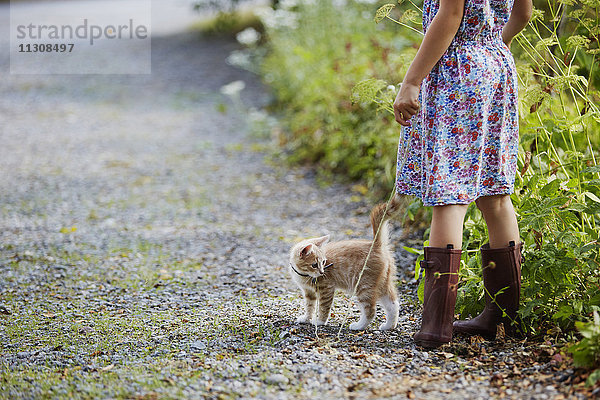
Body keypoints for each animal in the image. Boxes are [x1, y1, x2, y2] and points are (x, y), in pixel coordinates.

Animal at [288, 197, 400, 332]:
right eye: (315, 265)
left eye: (323, 262)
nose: (322, 272)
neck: (304, 275)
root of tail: (375, 244)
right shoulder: (308, 292)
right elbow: (310, 306)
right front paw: (306, 318)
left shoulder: (327, 289)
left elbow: (323, 307)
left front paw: (320, 321)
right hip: (382, 283)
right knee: (393, 304)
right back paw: (389, 326)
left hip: (364, 285)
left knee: (370, 310)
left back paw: (359, 326)